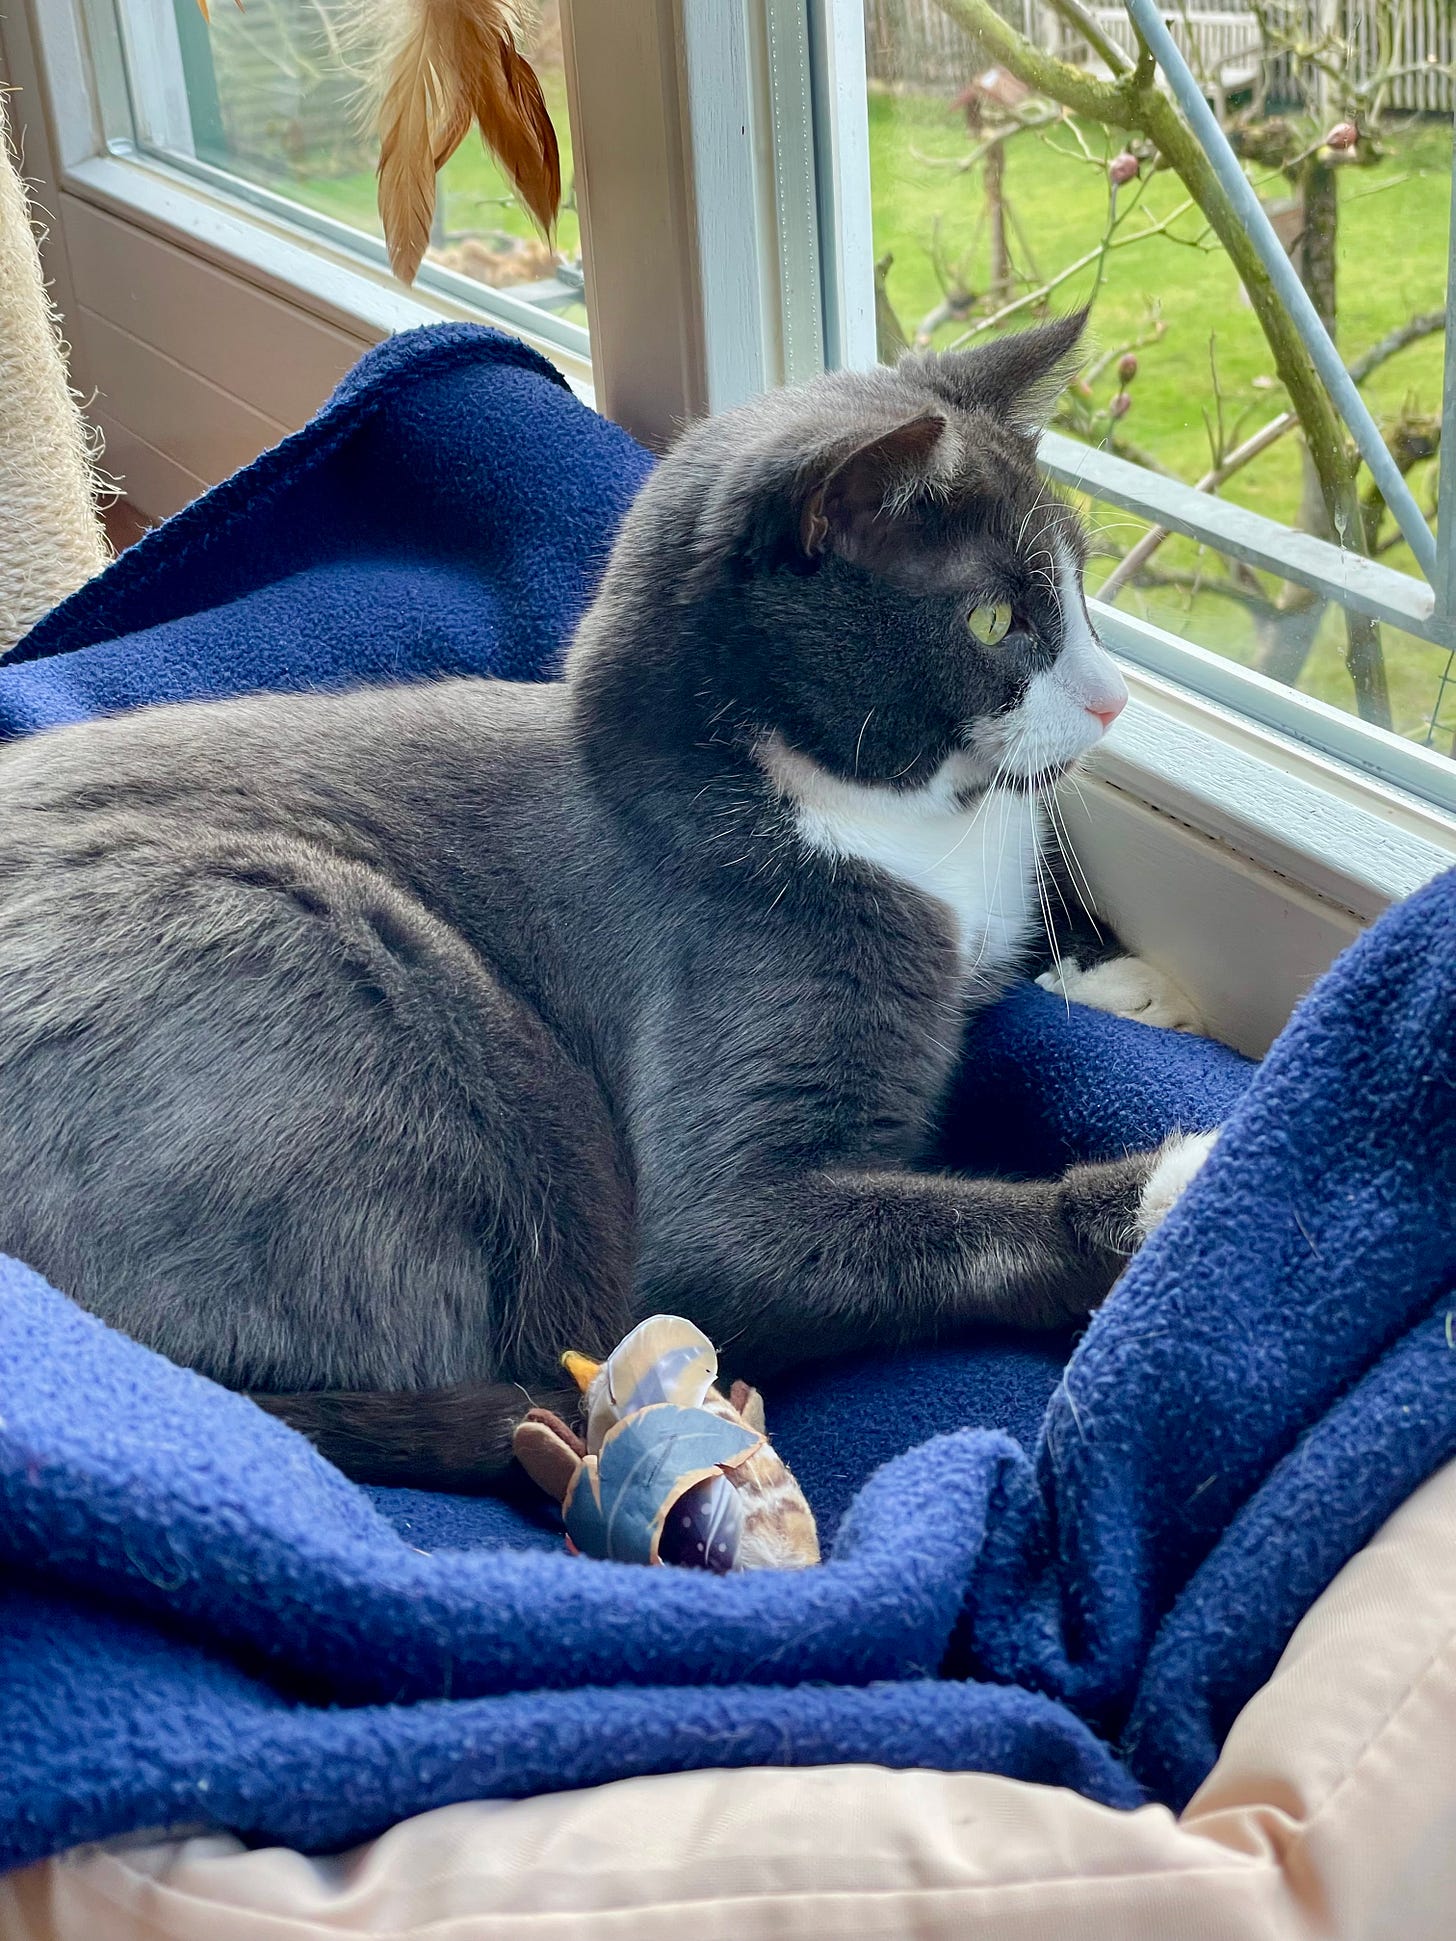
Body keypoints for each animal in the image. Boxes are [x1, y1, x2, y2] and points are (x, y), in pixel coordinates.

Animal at [0, 314, 1211, 1482]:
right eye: (995, 622)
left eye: (1080, 586)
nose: (1115, 700)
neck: (900, 827)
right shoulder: (714, 1059)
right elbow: (779, 1237)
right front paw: (1169, 1187)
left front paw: (1126, 980)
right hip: (337, 966)